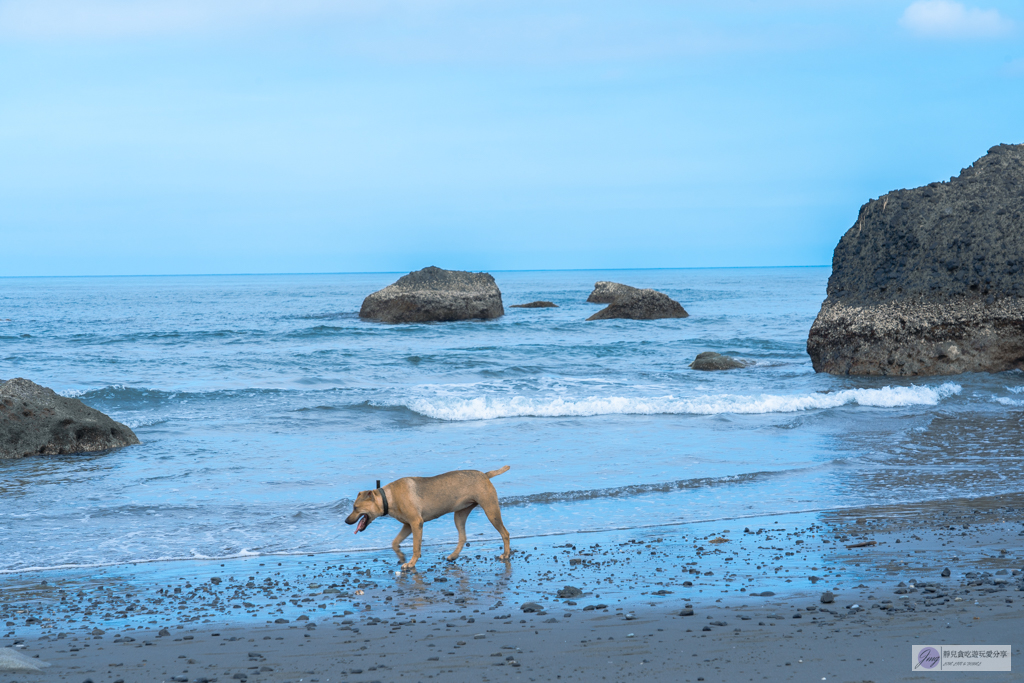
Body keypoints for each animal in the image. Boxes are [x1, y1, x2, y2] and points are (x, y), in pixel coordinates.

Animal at [348, 464, 512, 573]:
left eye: (355, 508)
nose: (346, 521)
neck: (387, 498)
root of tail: (485, 475)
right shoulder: (408, 526)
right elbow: (394, 542)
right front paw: (402, 556)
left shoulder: (416, 523)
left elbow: (416, 547)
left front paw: (411, 563)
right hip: (460, 514)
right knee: (462, 537)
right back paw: (453, 556)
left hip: (491, 510)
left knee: (505, 533)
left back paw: (506, 554)